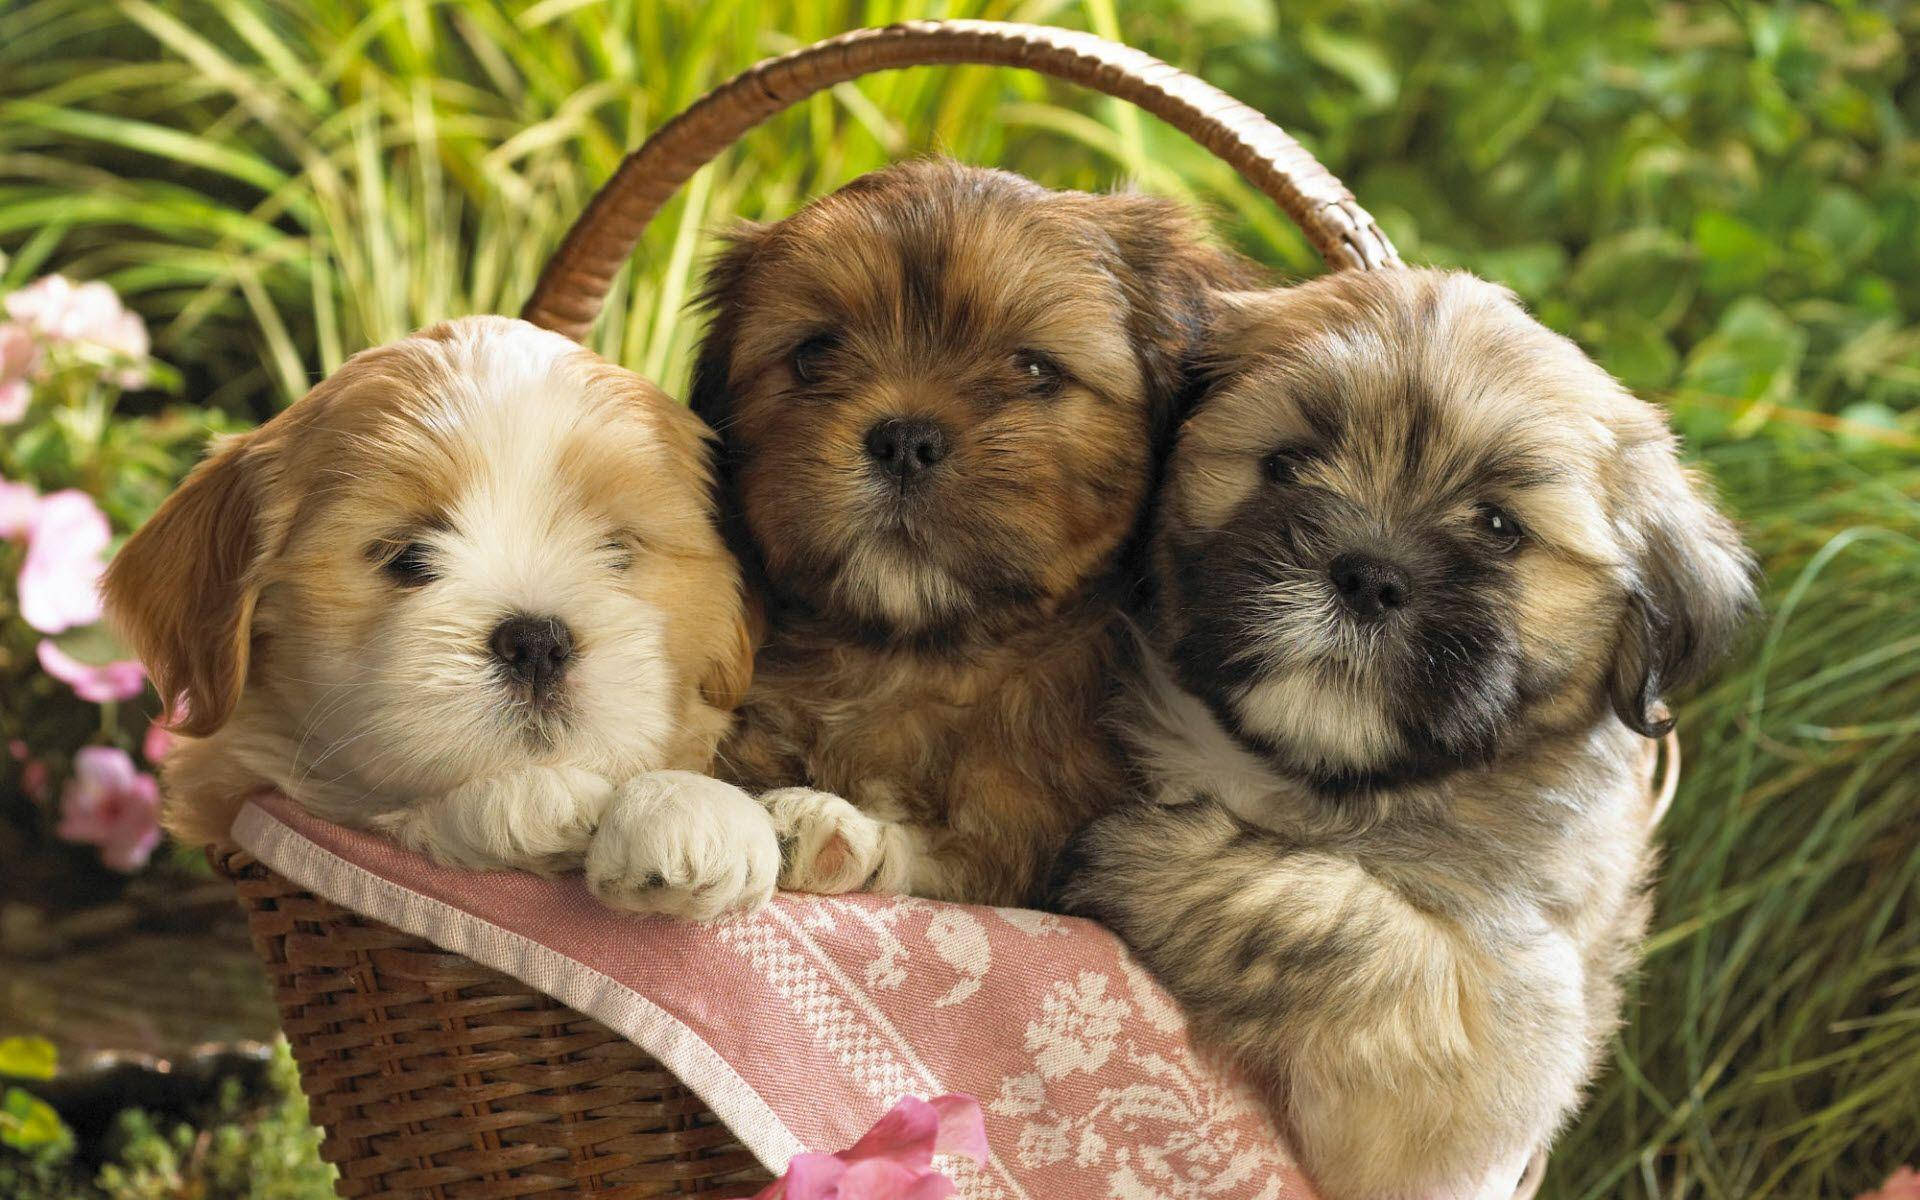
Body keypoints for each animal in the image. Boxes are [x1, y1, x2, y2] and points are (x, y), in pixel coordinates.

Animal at [103, 316, 779, 917]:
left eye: (616, 551)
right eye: (408, 556)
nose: (536, 642)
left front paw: (691, 810)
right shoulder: (234, 785)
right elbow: (380, 810)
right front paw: (532, 798)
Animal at [687, 161, 1244, 906]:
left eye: (1034, 368)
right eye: (815, 353)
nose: (904, 441)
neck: (913, 659)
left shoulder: (1033, 848)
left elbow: (962, 857)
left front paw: (836, 829)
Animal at [1059, 270, 1758, 1198]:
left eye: (1498, 527)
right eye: (1285, 465)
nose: (1368, 576)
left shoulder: (1496, 1044)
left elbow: (1357, 927)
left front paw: (1144, 860)